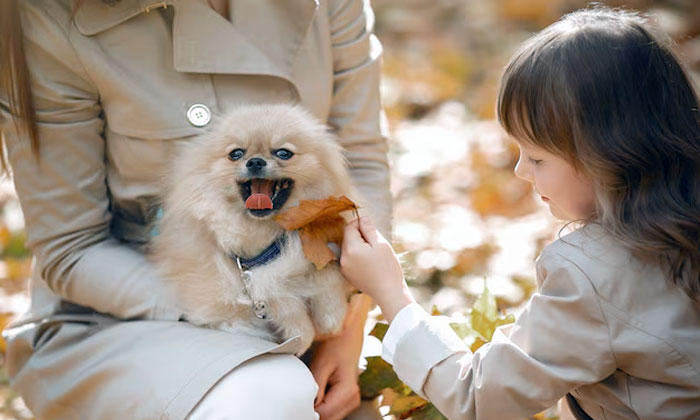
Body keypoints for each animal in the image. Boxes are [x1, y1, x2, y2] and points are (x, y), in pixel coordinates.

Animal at [154, 103, 360, 352]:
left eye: (283, 153)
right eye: (236, 153)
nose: (255, 161)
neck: (265, 234)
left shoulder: (319, 240)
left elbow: (327, 271)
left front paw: (331, 315)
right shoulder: (224, 295)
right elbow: (277, 297)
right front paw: (300, 335)